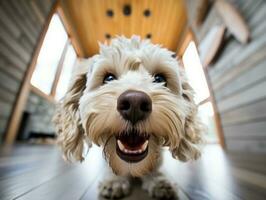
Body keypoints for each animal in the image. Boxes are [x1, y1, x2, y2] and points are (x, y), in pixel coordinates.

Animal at [53, 35, 203, 199]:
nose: (134, 103)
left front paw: (158, 180)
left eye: (159, 79)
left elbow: (156, 166)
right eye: (109, 78)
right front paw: (114, 181)